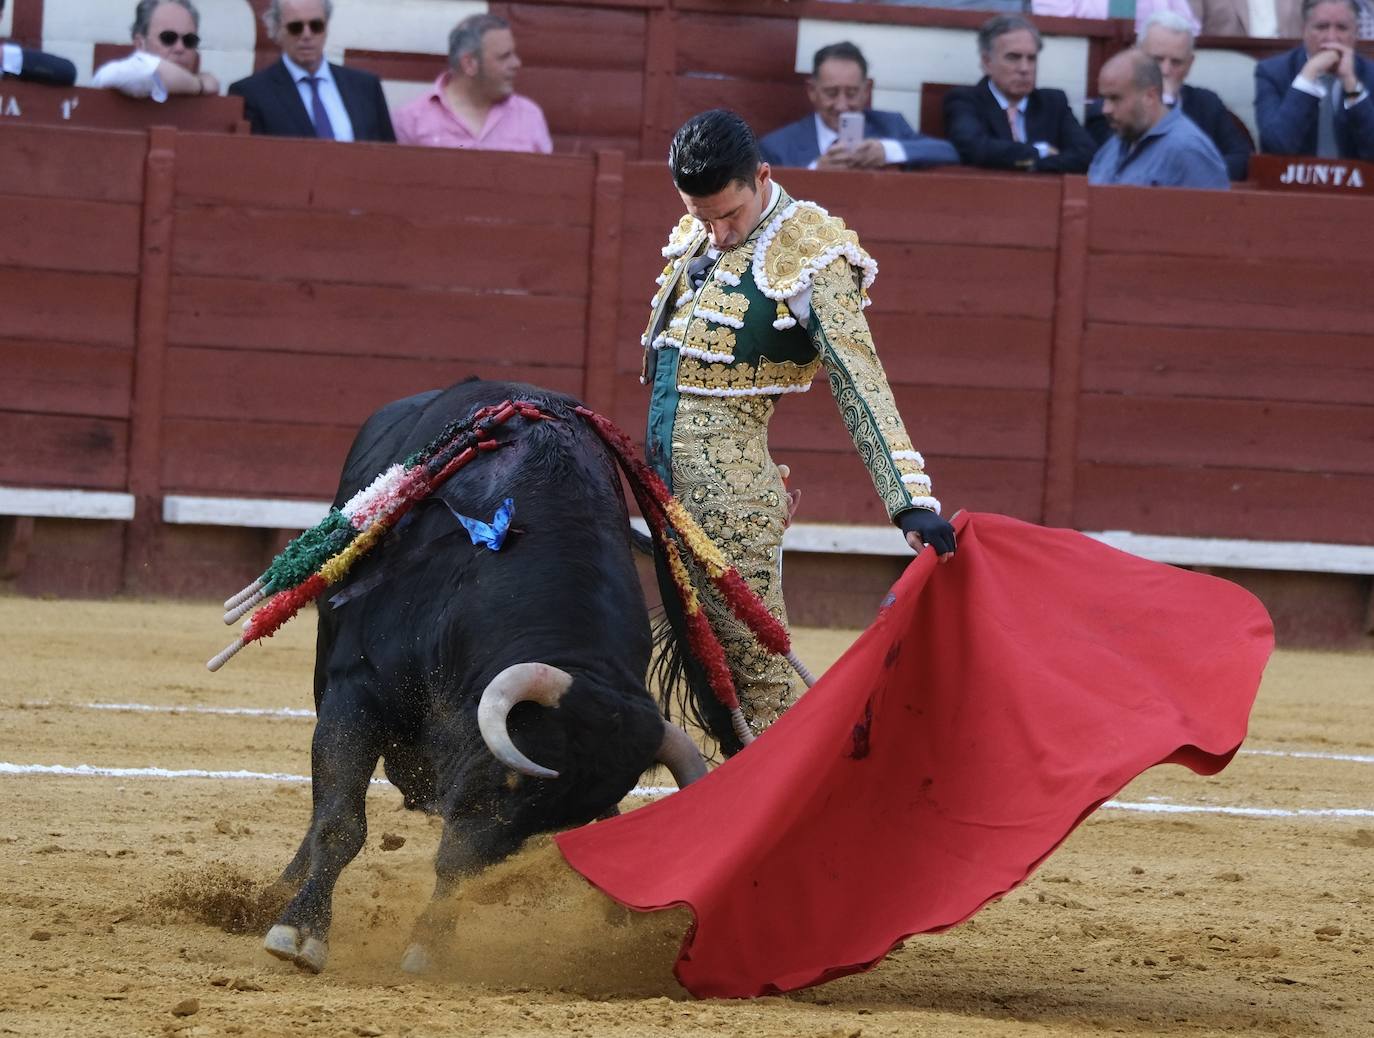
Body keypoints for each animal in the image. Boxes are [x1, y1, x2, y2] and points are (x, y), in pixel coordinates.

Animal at [261, 382, 703, 973]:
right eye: (508, 781)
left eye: (558, 821)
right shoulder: (357, 689)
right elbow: (339, 821)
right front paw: (299, 930)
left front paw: (428, 946)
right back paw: (278, 892)